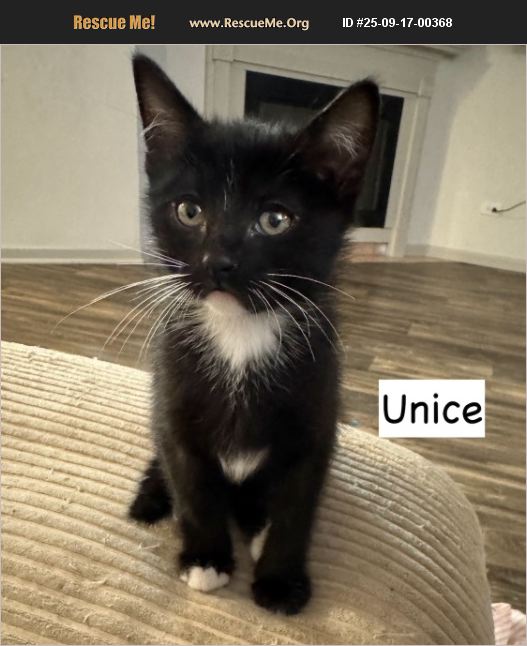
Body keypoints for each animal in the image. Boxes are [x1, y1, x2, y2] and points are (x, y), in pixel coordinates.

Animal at [129, 53, 379, 615]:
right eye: (189, 210)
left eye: (275, 219)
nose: (218, 263)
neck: (241, 333)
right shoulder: (172, 401)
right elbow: (192, 486)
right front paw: (206, 558)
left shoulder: (316, 417)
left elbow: (296, 505)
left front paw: (281, 578)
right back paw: (153, 496)